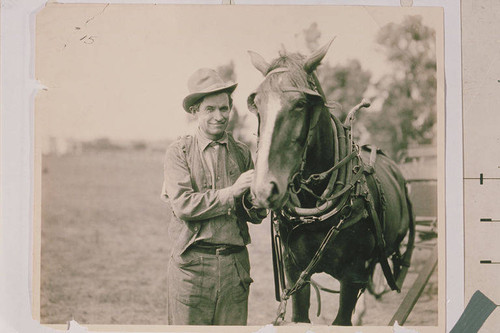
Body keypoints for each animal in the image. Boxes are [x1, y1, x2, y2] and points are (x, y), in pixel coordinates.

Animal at [246, 40, 414, 324]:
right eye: (257, 104)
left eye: (301, 103)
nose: (263, 189)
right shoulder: (294, 273)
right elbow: (300, 316)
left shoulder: (352, 277)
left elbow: (344, 316)